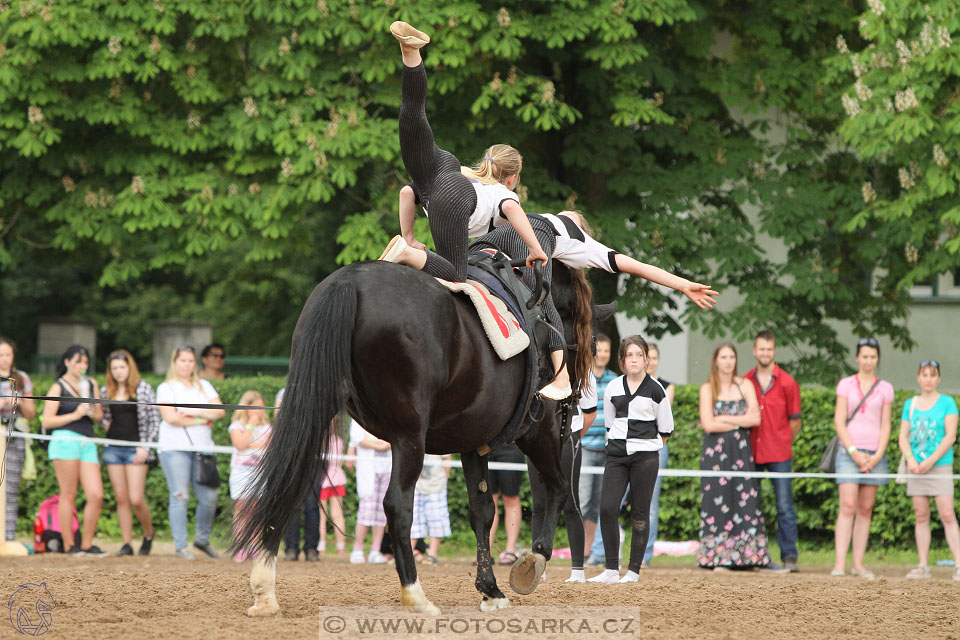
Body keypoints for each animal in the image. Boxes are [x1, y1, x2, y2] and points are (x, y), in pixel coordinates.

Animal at [235, 258, 596, 612]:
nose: (577, 397)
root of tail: (351, 280)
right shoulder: (538, 431)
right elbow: (558, 489)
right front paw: (533, 561)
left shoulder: (472, 442)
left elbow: (483, 511)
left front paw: (490, 588)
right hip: (410, 437)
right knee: (397, 505)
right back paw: (415, 594)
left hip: (316, 407)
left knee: (285, 481)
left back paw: (265, 588)